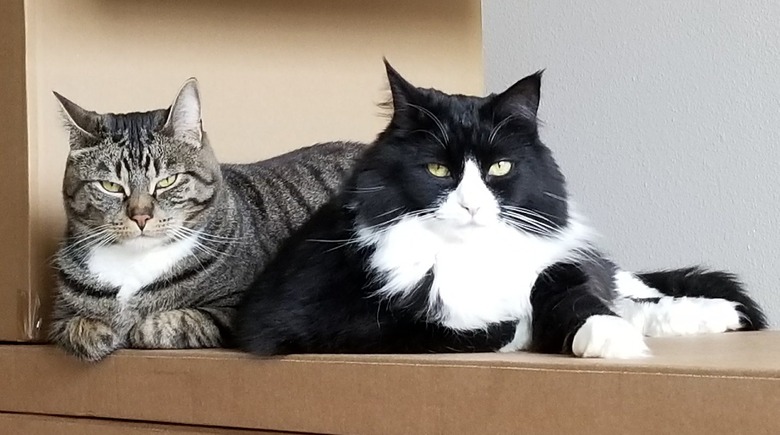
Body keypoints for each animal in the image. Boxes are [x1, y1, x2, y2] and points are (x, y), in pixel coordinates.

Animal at [50, 80, 362, 362]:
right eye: (110, 186)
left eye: (167, 181)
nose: (140, 216)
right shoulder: (57, 317)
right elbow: (72, 325)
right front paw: (98, 331)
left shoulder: (236, 310)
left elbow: (171, 323)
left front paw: (134, 328)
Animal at [233, 63, 768, 358]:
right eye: (438, 170)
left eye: (500, 167)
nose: (471, 204)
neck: (472, 257)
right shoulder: (319, 319)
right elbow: (455, 328)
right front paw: (524, 330)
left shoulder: (555, 267)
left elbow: (576, 299)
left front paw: (609, 339)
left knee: (633, 290)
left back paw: (723, 312)